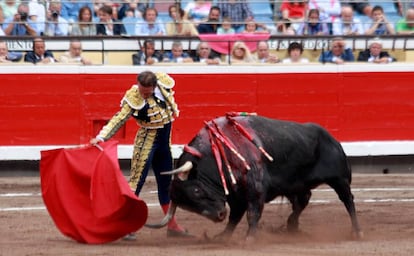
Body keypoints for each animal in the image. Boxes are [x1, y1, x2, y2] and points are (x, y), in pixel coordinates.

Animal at [150, 115, 362, 239]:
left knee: (348, 200)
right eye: (187, 207)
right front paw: (223, 236)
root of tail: (333, 139)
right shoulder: (236, 195)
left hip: (340, 180)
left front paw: (249, 238)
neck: (218, 150)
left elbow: (252, 213)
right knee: (302, 200)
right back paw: (291, 227)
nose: (218, 215)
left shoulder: (255, 188)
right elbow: (235, 216)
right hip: (297, 185)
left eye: (195, 190)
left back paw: (356, 232)